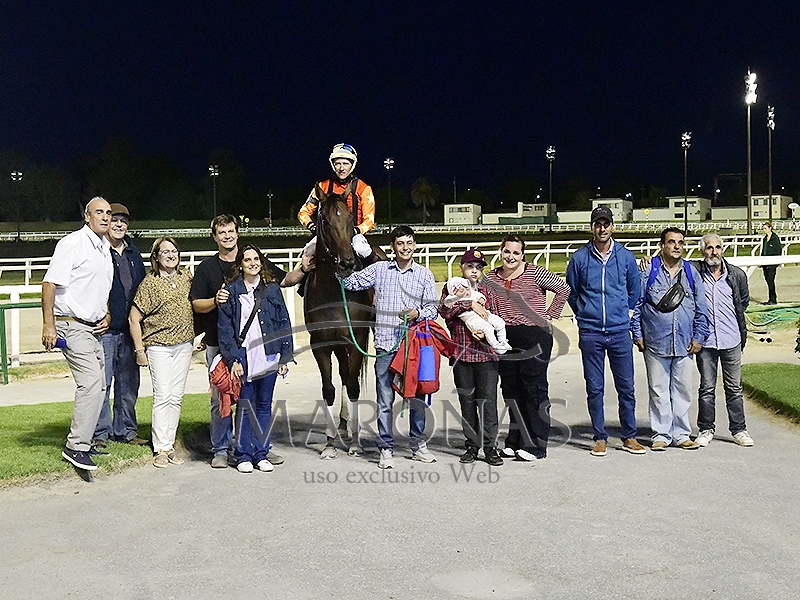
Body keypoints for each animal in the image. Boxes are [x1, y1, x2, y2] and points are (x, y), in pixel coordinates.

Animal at [302, 182, 377, 459]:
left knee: (349, 377)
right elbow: (329, 389)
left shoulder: (355, 340)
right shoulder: (321, 343)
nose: (346, 263)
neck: (333, 292)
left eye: (349, 218)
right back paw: (343, 426)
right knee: (343, 375)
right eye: (323, 220)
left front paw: (355, 443)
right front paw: (329, 443)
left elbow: (354, 386)